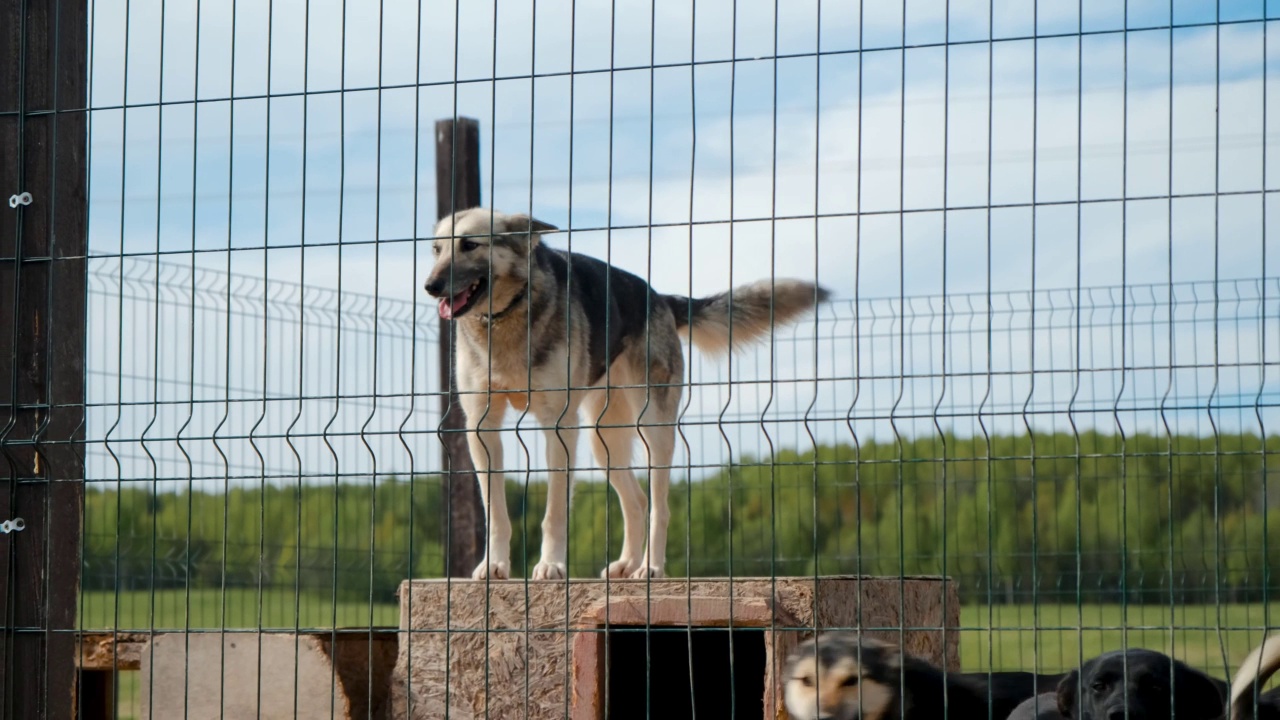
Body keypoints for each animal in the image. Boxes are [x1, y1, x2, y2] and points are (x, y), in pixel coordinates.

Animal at [424, 207, 824, 576]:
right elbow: (496, 512)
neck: (506, 315)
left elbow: (554, 511)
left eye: (470, 245)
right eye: (436, 249)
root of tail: (660, 299)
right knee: (637, 501)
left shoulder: (558, 427)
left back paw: (651, 567)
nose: (429, 286)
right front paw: (494, 565)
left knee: (660, 507)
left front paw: (551, 565)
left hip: (654, 431)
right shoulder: (483, 427)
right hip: (604, 441)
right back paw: (628, 564)